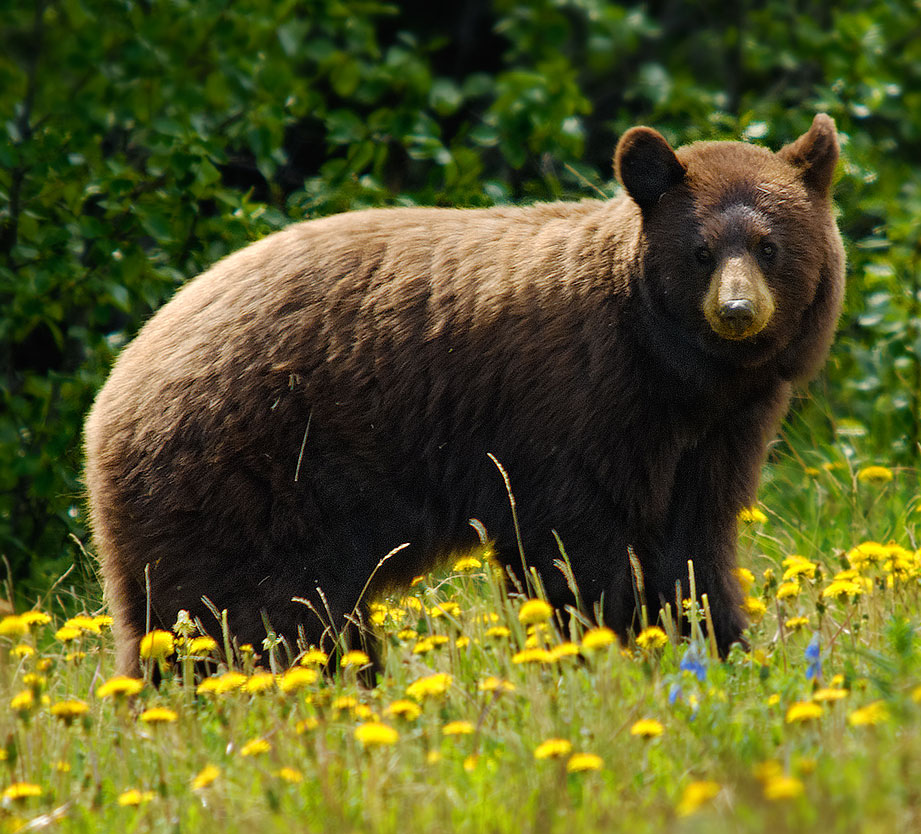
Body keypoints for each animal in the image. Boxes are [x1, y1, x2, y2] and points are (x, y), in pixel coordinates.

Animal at [84, 114, 845, 676]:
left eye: (769, 245)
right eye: (700, 251)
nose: (738, 310)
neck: (668, 369)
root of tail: (119, 379)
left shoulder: (715, 434)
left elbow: (693, 542)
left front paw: (723, 646)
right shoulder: (567, 411)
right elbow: (571, 547)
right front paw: (607, 646)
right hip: (246, 478)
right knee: (241, 612)